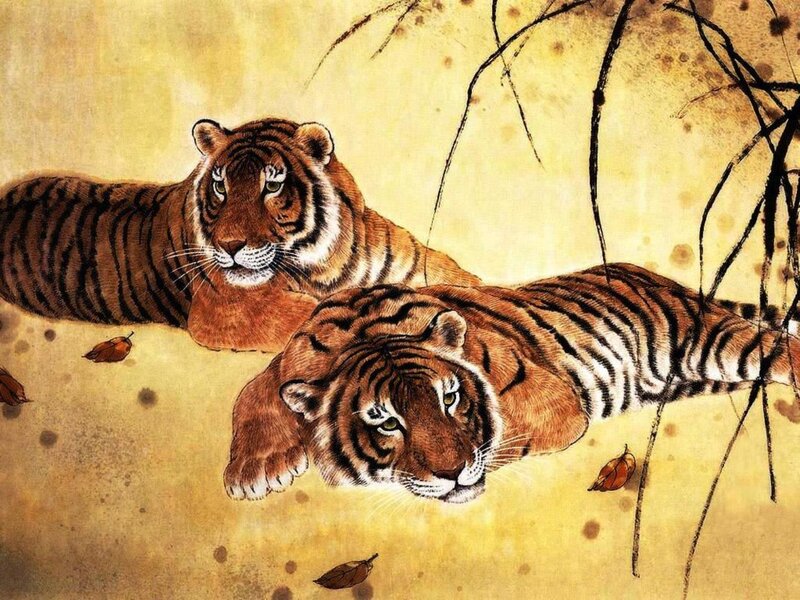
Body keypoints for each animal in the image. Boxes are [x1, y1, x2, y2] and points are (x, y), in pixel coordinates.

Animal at [0, 117, 479, 352]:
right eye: (220, 185)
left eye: (272, 184)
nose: (229, 247)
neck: (326, 261)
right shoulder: (231, 311)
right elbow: (316, 315)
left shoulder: (411, 261)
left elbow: (460, 279)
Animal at [223, 262, 800, 504]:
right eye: (385, 421)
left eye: (450, 398)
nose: (454, 475)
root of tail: (664, 279)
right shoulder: (291, 357)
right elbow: (252, 391)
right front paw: (255, 470)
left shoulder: (548, 398)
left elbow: (503, 433)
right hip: (697, 378)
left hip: (704, 338)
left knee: (777, 345)